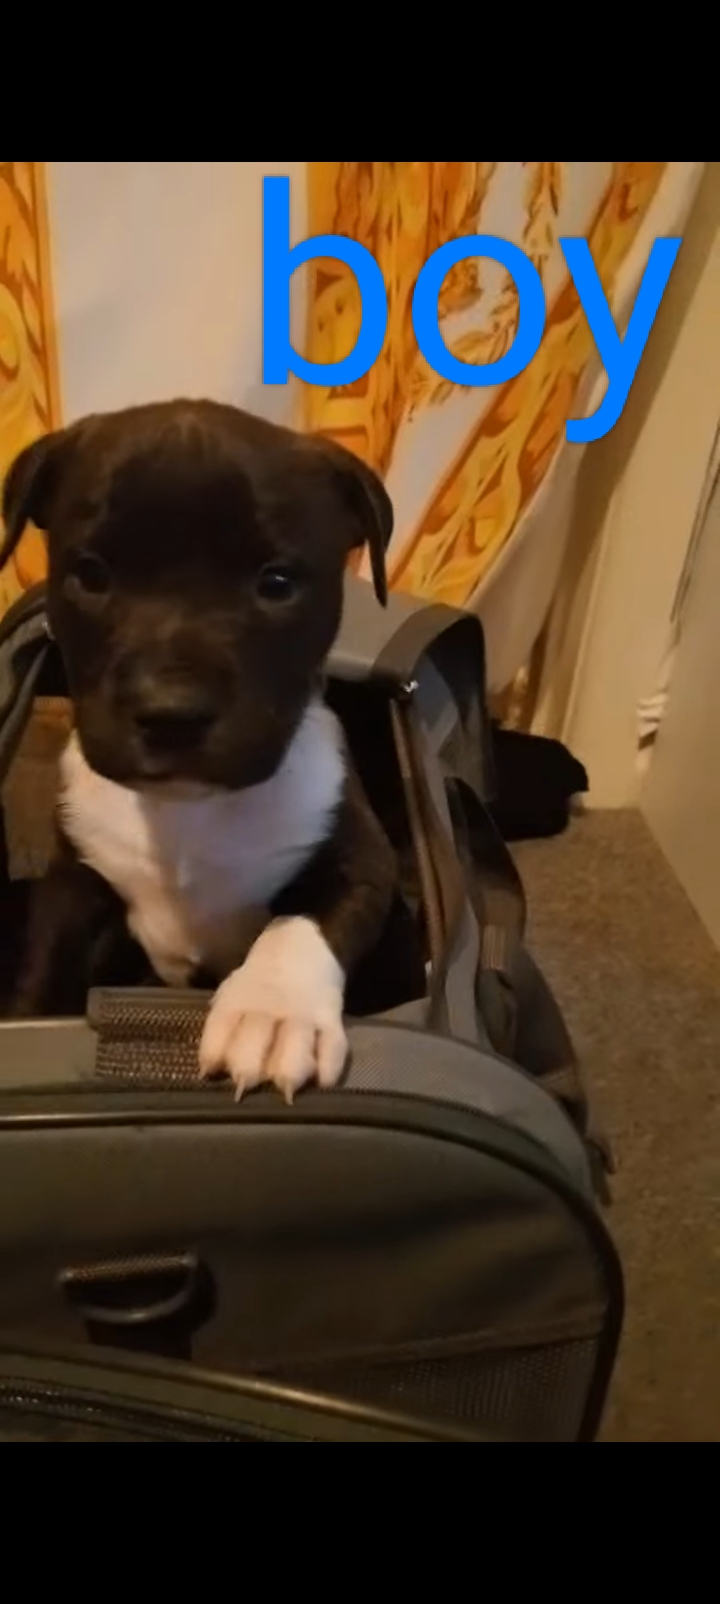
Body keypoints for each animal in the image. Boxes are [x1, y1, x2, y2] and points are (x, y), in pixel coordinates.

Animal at [0, 400, 398, 1100]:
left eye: (277, 583)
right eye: (90, 575)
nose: (171, 712)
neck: (189, 813)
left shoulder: (367, 863)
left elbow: (300, 922)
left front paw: (272, 1011)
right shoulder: (73, 887)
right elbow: (44, 972)